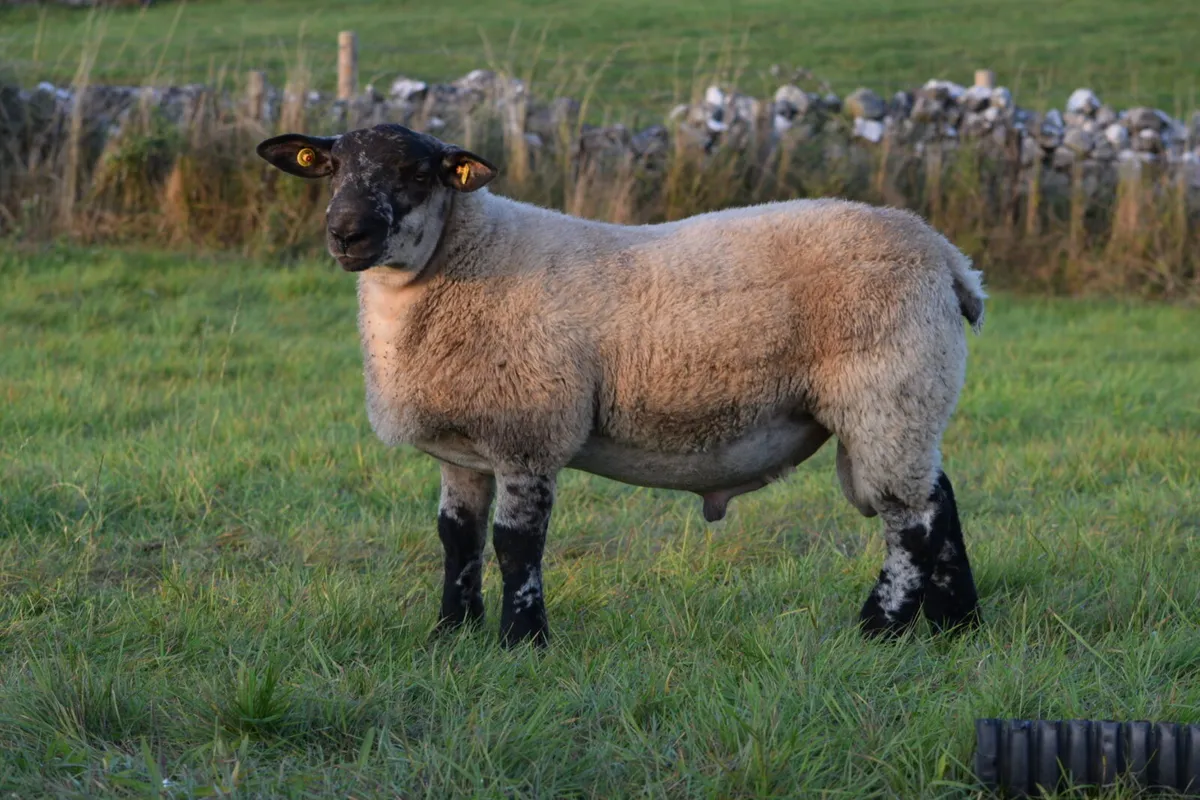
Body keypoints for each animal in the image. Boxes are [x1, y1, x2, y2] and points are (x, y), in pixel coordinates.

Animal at [256, 122, 987, 647]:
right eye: (333, 168)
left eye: (415, 171)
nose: (346, 233)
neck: (462, 257)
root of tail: (947, 256)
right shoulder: (464, 449)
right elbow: (456, 540)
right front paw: (449, 636)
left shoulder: (529, 430)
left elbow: (516, 545)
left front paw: (522, 642)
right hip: (907, 404)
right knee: (940, 499)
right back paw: (958, 625)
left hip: (887, 393)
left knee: (911, 520)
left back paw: (879, 630)